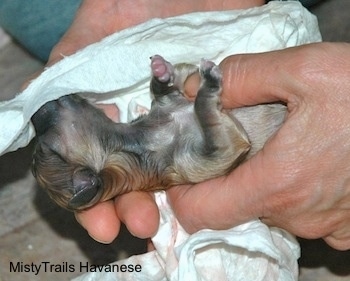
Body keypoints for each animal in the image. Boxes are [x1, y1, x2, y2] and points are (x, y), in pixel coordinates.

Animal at [31, 55, 286, 210]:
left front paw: (161, 72)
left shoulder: (166, 103)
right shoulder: (206, 157)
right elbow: (209, 122)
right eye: (46, 149)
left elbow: (163, 91)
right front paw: (208, 85)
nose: (33, 115)